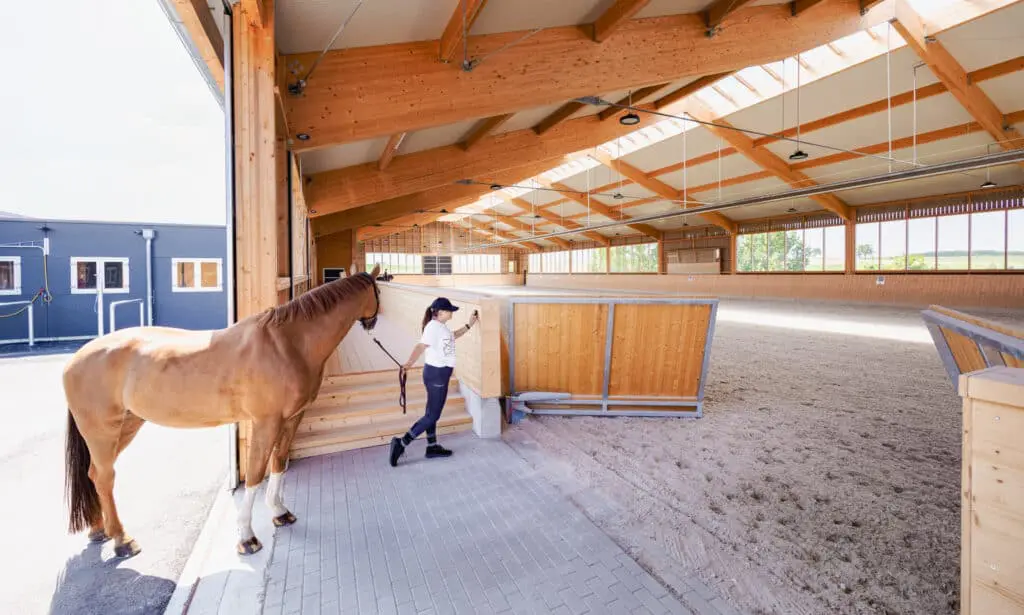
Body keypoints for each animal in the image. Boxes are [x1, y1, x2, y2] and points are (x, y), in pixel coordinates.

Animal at [63, 265, 381, 557]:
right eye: (378, 291)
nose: (373, 322)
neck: (288, 344)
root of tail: (75, 359)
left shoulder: (291, 419)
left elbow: (278, 462)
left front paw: (279, 512)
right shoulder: (265, 423)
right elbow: (255, 474)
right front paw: (247, 537)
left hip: (125, 426)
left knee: (94, 474)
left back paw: (99, 529)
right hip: (102, 432)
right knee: (104, 477)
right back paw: (121, 540)